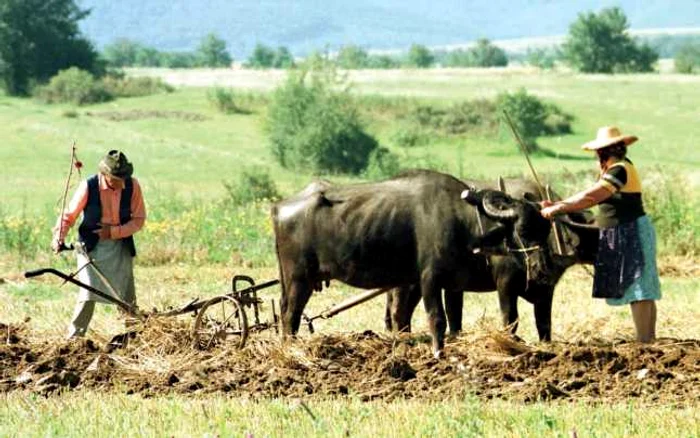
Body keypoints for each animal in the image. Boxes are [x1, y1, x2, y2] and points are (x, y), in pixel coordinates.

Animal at [272, 169, 564, 356]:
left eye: (545, 230)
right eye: (523, 230)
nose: (542, 270)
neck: (461, 220)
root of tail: (279, 208)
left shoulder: (452, 284)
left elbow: (452, 321)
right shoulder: (429, 280)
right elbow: (437, 319)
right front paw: (438, 354)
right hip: (299, 278)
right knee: (289, 316)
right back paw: (291, 350)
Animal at [380, 178, 600, 342]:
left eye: (545, 229)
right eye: (522, 230)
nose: (541, 266)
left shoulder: (546, 290)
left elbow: (544, 324)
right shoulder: (505, 284)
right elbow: (510, 318)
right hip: (406, 284)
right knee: (398, 311)